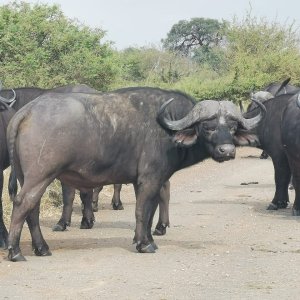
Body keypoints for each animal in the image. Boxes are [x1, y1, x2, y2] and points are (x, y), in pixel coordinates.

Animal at [6, 86, 264, 260]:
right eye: (208, 126)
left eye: (232, 127)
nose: (227, 151)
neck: (168, 128)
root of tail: (27, 111)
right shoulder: (150, 179)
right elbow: (142, 211)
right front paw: (144, 244)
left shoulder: (149, 181)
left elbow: (149, 212)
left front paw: (147, 239)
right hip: (40, 176)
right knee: (22, 204)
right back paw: (15, 251)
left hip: (27, 176)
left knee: (32, 210)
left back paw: (42, 248)